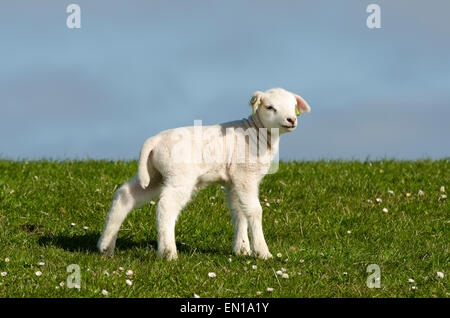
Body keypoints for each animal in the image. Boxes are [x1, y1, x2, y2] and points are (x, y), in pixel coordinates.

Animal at [97, 86, 312, 258]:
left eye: (293, 106)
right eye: (270, 107)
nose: (291, 119)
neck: (256, 132)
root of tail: (153, 141)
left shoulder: (233, 180)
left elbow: (238, 212)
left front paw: (241, 249)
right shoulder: (246, 176)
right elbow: (254, 211)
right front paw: (262, 252)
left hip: (154, 174)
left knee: (124, 195)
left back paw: (105, 247)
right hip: (180, 176)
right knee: (166, 206)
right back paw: (169, 253)